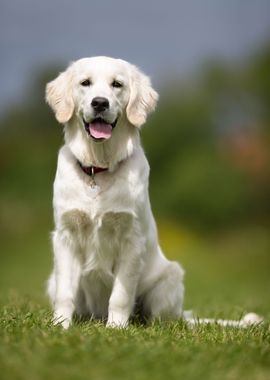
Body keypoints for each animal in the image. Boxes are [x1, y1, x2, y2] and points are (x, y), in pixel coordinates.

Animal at [47, 56, 186, 330]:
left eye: (117, 84)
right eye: (85, 83)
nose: (100, 102)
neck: (97, 170)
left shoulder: (131, 239)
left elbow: (121, 296)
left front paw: (116, 329)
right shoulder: (66, 236)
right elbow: (65, 293)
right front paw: (60, 327)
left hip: (171, 277)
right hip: (52, 280)